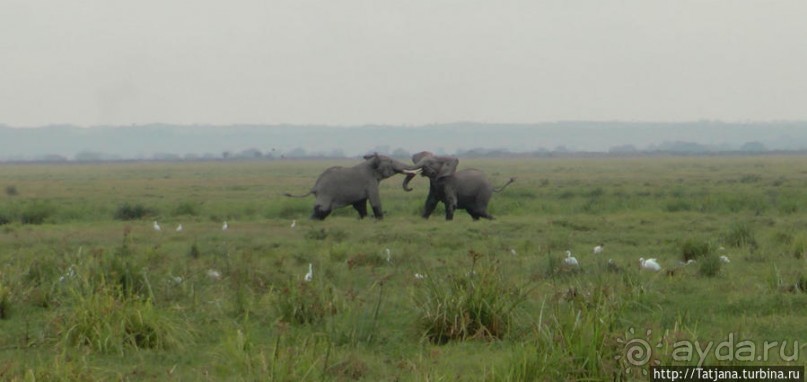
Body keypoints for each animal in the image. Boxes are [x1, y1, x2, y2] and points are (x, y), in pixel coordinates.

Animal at [286, 153, 416, 219]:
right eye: (391, 162)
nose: (411, 188)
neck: (370, 163)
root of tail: (315, 187)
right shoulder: (370, 182)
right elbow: (374, 200)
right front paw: (379, 219)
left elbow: (360, 204)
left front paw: (365, 218)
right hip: (326, 194)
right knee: (322, 210)